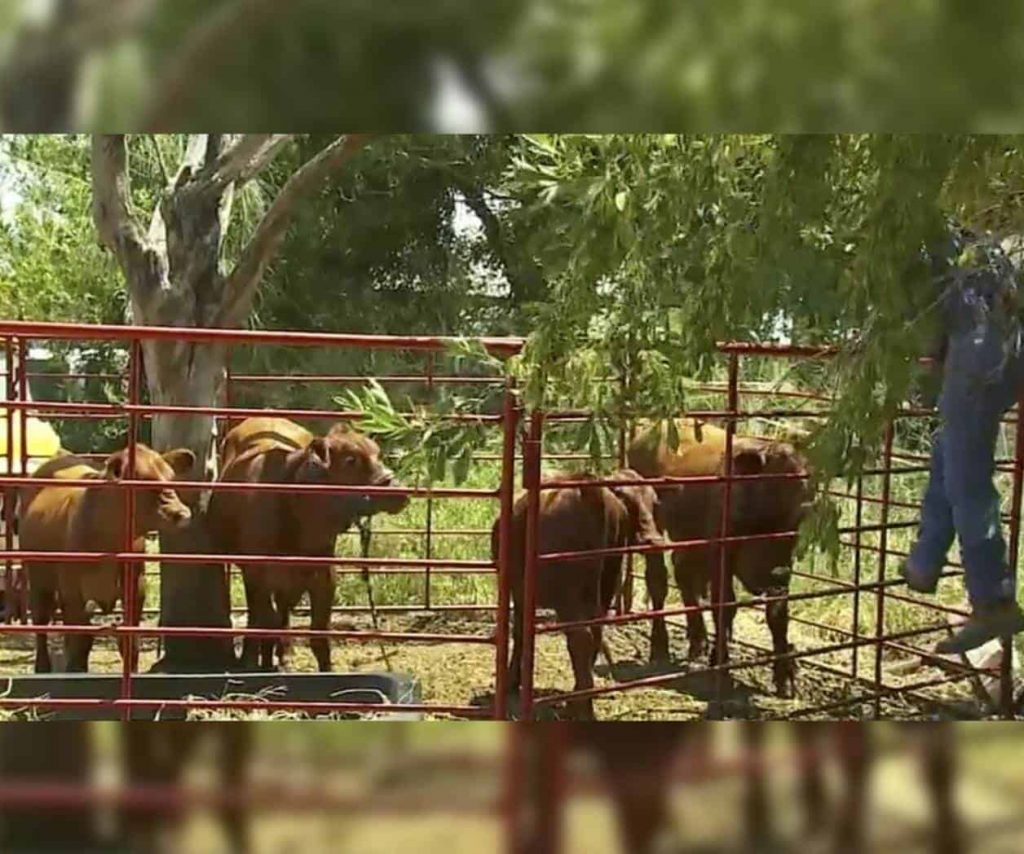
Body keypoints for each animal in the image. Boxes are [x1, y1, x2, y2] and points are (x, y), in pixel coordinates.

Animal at [19, 446, 194, 671]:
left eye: (171, 478)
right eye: (143, 480)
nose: (182, 514)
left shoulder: (136, 586)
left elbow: (129, 641)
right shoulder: (72, 589)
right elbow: (79, 639)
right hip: (38, 577)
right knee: (41, 619)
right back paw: (42, 667)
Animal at [207, 413, 407, 671]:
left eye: (377, 453)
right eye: (350, 460)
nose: (399, 491)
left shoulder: (324, 574)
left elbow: (319, 635)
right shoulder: (257, 573)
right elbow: (267, 620)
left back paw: (283, 654)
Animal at [493, 468, 663, 716]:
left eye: (653, 502)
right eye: (629, 500)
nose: (653, 539)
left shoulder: (518, 589)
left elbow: (519, 633)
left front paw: (512, 681)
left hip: (568, 595)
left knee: (581, 638)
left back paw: (582, 704)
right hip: (605, 581)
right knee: (595, 631)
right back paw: (581, 694)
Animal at [626, 415, 811, 696]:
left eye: (798, 515)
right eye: (766, 504)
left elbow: (778, 613)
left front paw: (785, 676)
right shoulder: (720, 555)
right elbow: (725, 605)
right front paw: (720, 662)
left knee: (683, 574)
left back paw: (697, 641)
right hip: (654, 528)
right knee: (658, 580)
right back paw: (660, 647)